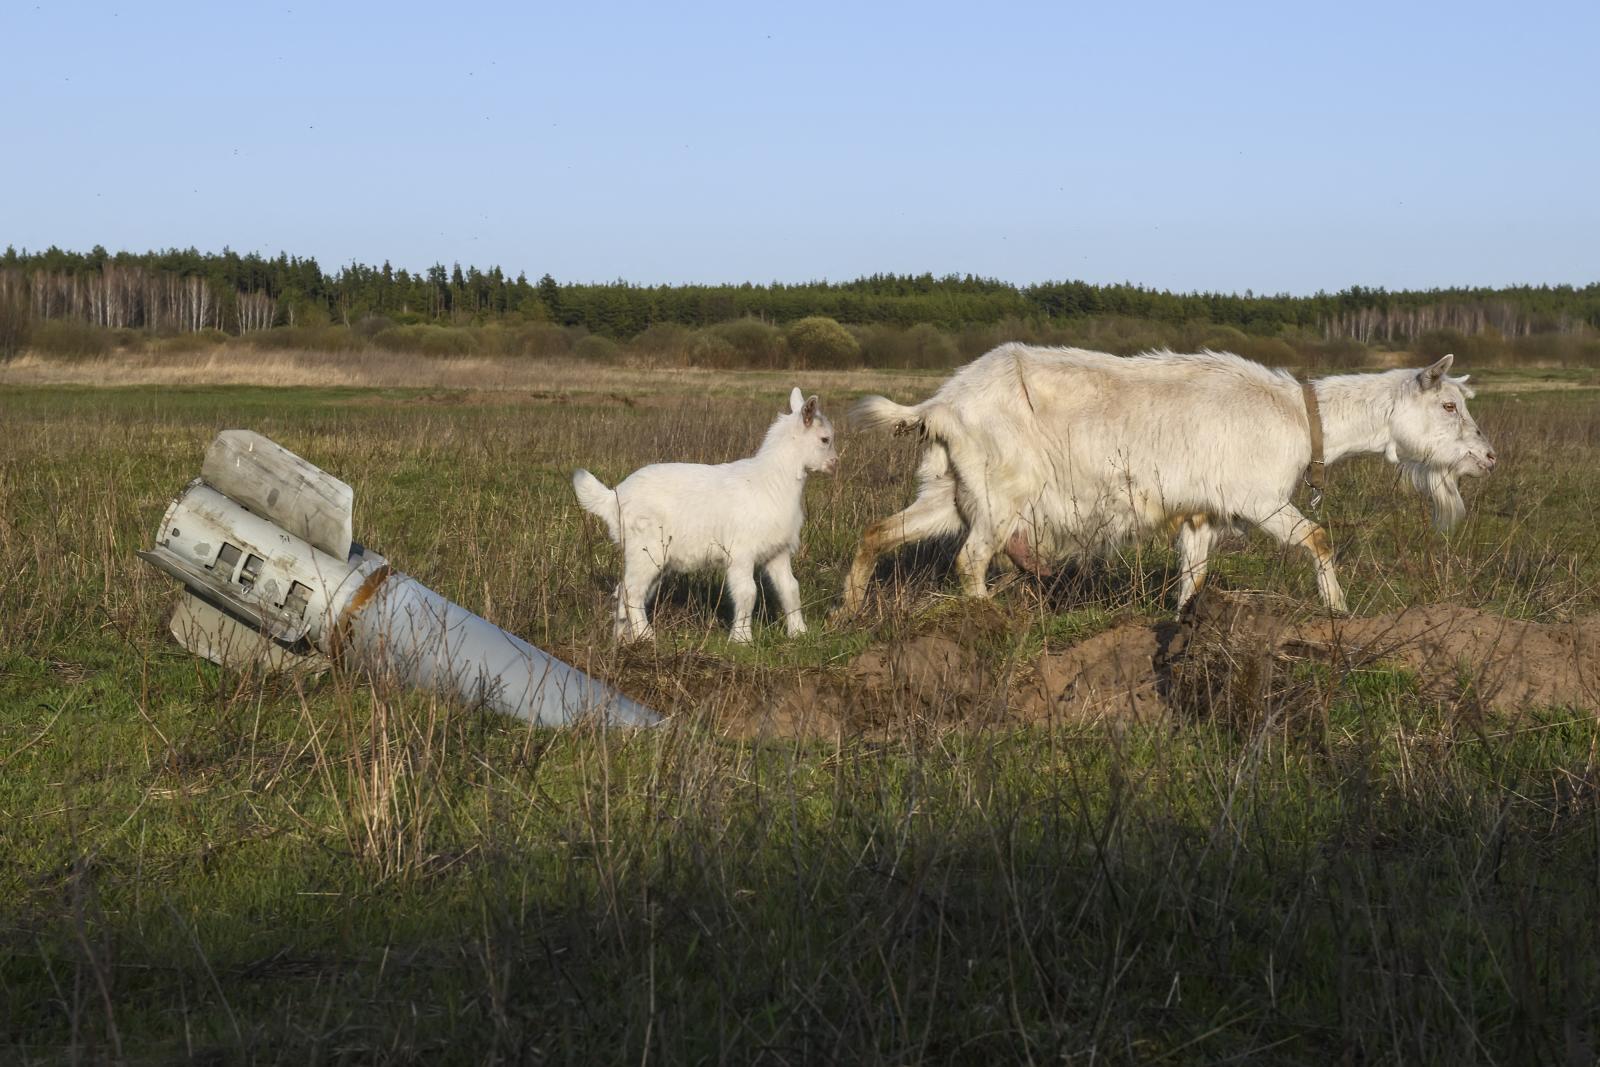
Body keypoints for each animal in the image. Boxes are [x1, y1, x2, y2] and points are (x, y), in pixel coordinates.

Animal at [844, 347, 1491, 614]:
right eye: (1449, 406)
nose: (1486, 459)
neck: (1302, 416)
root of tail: (941, 404)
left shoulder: (1202, 510)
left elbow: (1194, 574)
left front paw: (1184, 623)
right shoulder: (1258, 499)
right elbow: (1319, 538)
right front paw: (1339, 610)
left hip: (953, 490)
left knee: (879, 531)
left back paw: (848, 610)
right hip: (1001, 495)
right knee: (971, 560)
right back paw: (988, 619)